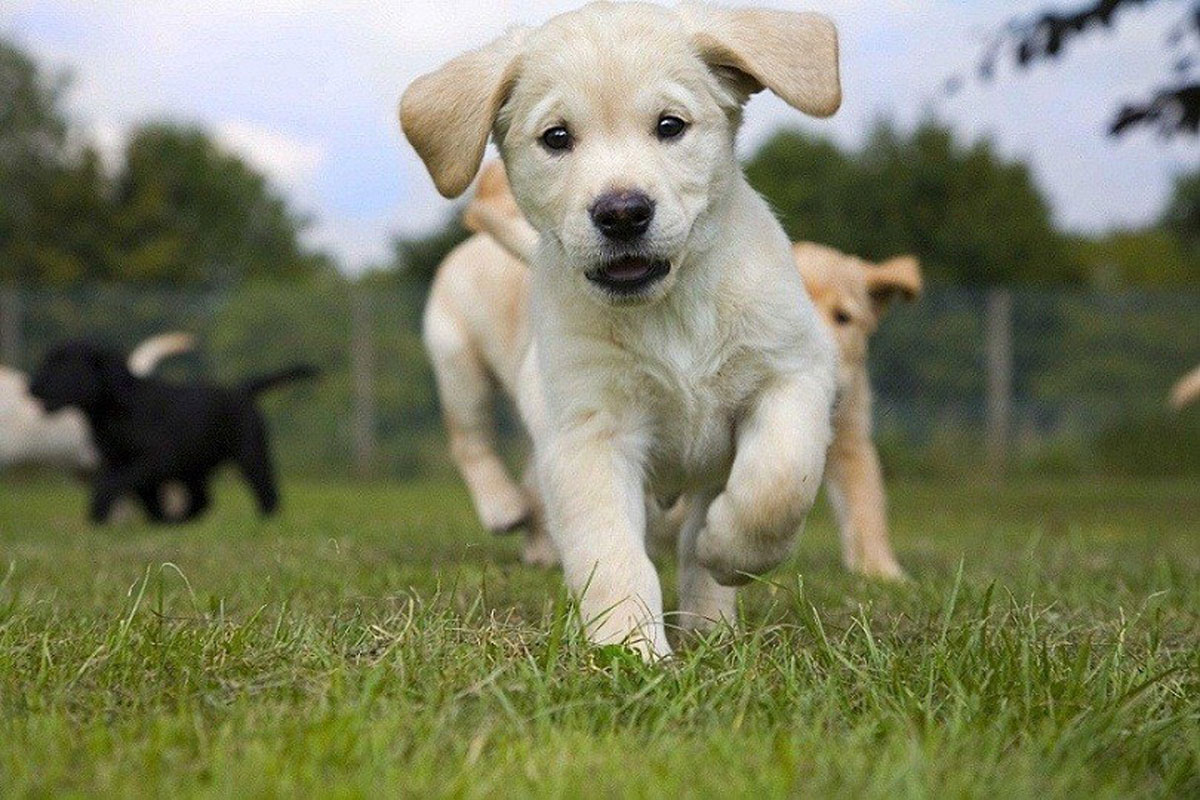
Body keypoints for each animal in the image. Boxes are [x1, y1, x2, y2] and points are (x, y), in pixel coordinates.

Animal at [29, 343, 316, 525]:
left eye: (62, 365)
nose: (32, 386)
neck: (117, 407)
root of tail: (242, 389)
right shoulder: (117, 461)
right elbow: (137, 492)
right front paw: (157, 521)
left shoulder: (156, 460)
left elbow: (112, 483)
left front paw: (98, 515)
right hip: (193, 468)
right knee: (202, 501)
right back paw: (180, 521)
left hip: (250, 455)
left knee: (266, 493)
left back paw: (265, 520)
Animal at [403, 3, 844, 662]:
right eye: (557, 137)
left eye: (670, 125)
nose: (621, 213)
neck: (670, 310)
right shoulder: (590, 432)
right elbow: (611, 554)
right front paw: (629, 648)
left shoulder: (793, 372)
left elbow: (778, 485)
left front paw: (725, 552)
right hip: (460, 364)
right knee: (471, 439)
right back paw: (504, 507)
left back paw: (711, 624)